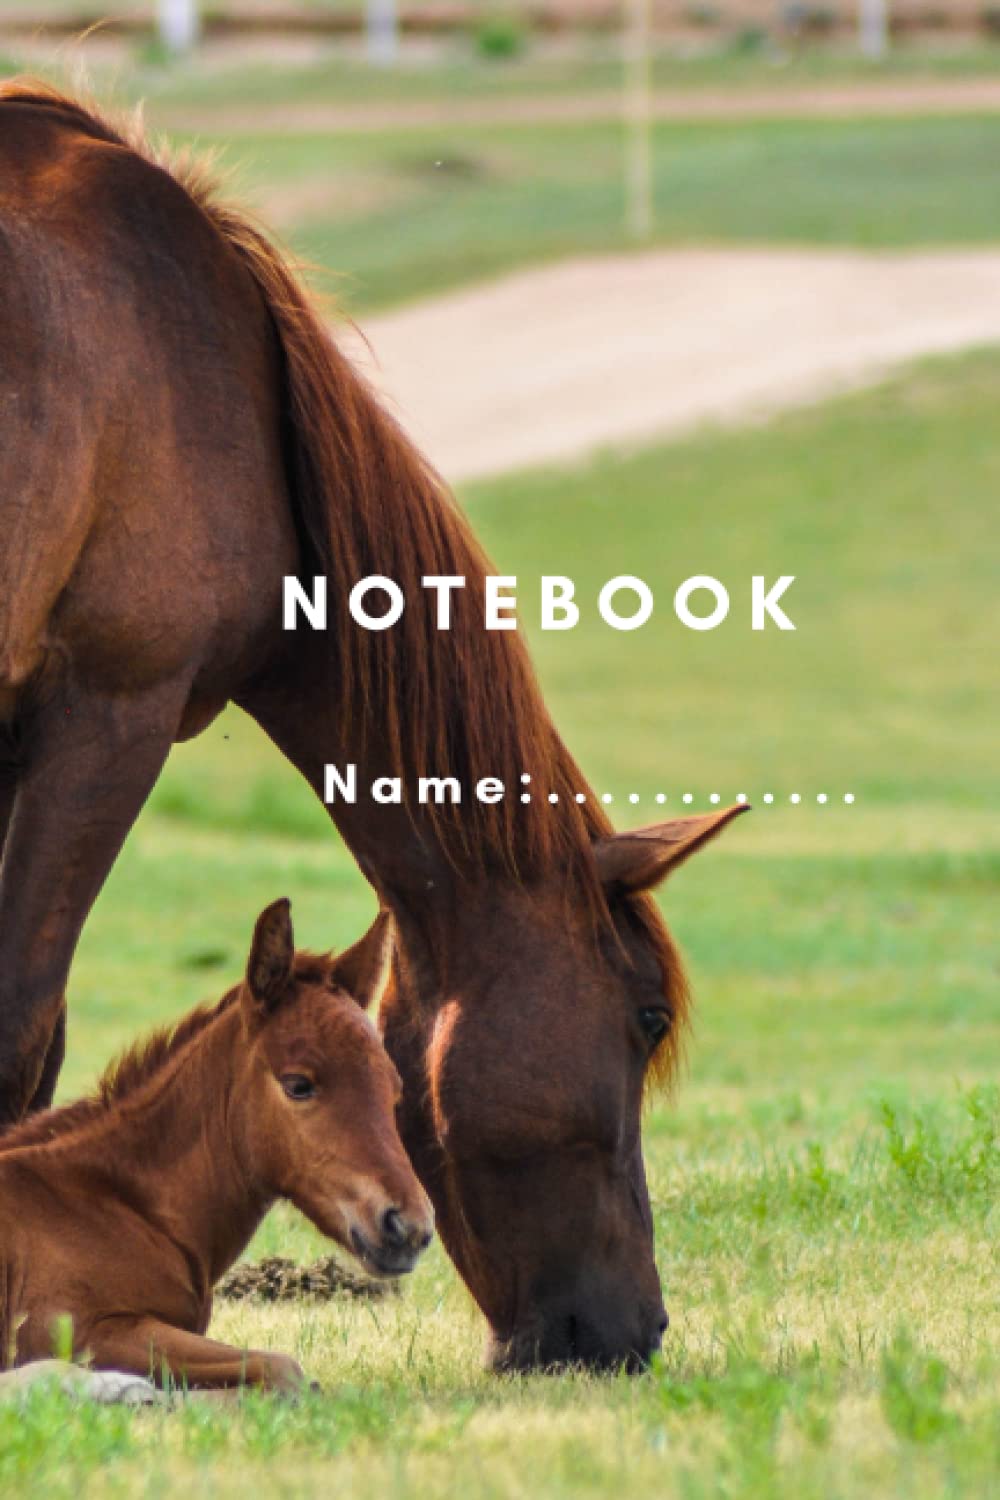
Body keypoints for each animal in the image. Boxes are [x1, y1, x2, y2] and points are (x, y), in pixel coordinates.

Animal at [0, 899, 434, 1390]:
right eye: (298, 1085)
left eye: (394, 1090)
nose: (409, 1227)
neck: (124, 1206)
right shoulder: (80, 1330)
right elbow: (281, 1368)